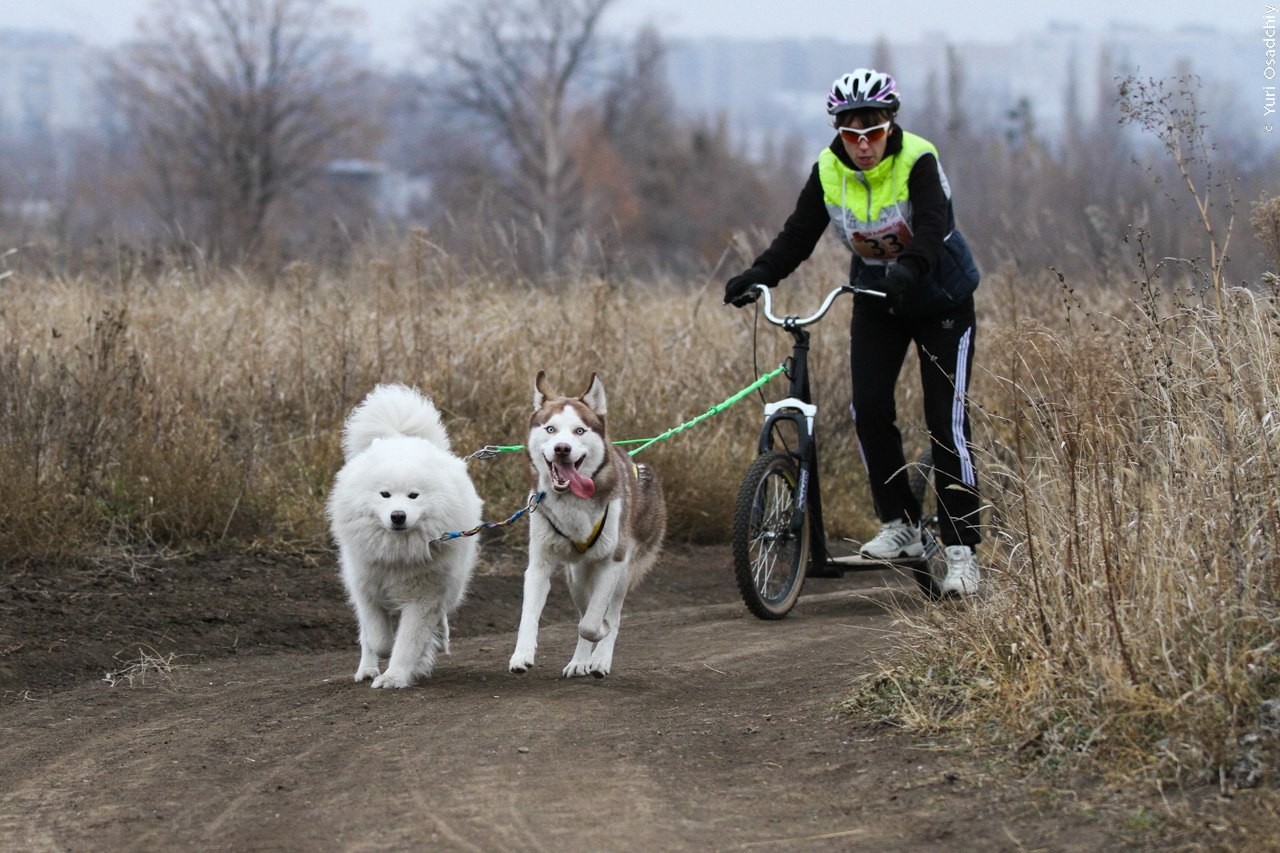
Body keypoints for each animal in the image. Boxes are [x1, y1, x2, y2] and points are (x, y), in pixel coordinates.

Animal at [327, 381, 481, 686]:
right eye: (384, 494)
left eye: (413, 496)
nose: (398, 515)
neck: (396, 552)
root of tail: (400, 437)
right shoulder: (366, 590)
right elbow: (378, 637)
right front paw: (383, 658)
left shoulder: (423, 597)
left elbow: (408, 641)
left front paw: (394, 676)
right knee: (366, 636)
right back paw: (366, 669)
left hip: (454, 581)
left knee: (441, 612)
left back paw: (437, 640)